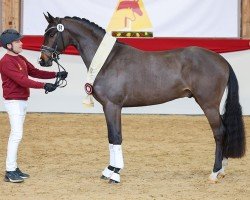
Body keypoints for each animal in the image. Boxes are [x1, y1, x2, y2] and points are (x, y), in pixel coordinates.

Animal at [39, 12, 246, 184]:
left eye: (52, 33)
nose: (43, 60)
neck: (108, 60)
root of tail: (221, 60)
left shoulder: (112, 106)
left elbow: (115, 136)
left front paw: (114, 174)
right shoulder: (112, 107)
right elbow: (112, 137)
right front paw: (109, 170)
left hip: (208, 104)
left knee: (219, 132)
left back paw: (214, 172)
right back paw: (222, 170)